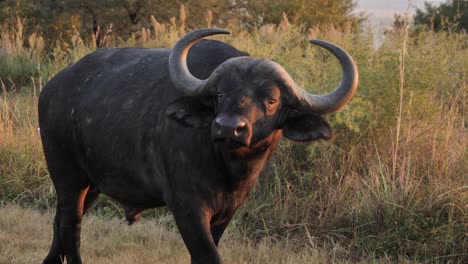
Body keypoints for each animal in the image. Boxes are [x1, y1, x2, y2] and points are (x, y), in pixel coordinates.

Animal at [39, 27, 358, 262]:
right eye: (220, 94)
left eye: (271, 99)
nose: (229, 127)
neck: (226, 169)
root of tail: (53, 87)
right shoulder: (187, 206)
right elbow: (208, 256)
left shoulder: (227, 211)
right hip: (67, 175)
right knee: (71, 226)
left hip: (91, 182)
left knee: (59, 222)